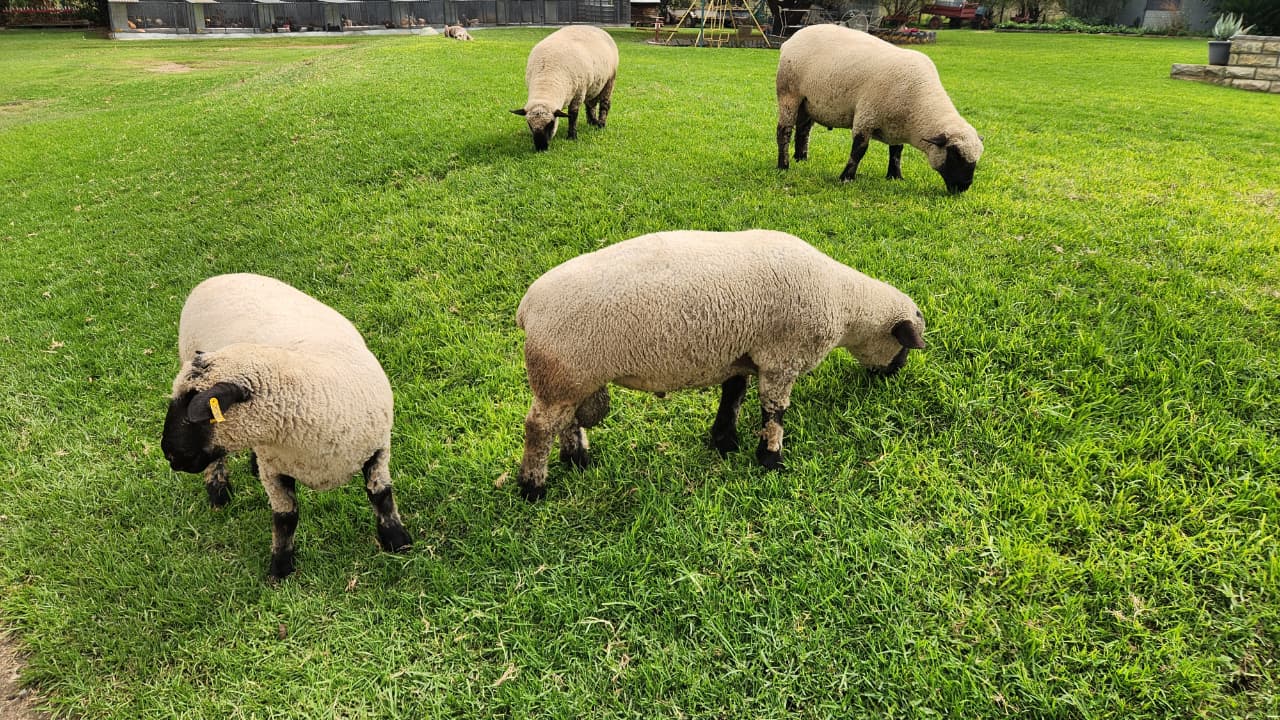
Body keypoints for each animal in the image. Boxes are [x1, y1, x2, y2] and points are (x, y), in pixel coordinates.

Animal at [160, 273, 411, 581]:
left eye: (195, 409)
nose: (169, 454)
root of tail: (216, 277)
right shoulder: (275, 469)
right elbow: (286, 518)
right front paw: (280, 568)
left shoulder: (378, 449)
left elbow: (380, 495)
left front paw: (398, 541)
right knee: (218, 458)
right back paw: (218, 491)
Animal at [513, 229, 926, 501]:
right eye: (904, 347)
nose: (893, 375)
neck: (844, 303)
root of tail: (527, 308)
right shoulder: (782, 360)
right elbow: (774, 412)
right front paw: (770, 459)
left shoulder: (741, 355)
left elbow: (733, 396)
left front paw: (724, 441)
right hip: (561, 373)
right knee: (539, 428)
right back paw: (533, 487)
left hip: (572, 379)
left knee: (566, 422)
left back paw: (577, 460)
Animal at [775, 24, 983, 194]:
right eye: (955, 155)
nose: (964, 187)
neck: (918, 104)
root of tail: (792, 39)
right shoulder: (867, 116)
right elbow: (859, 150)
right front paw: (846, 178)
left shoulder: (896, 124)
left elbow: (897, 151)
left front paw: (895, 176)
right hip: (789, 93)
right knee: (784, 131)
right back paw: (783, 165)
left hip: (808, 103)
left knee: (803, 131)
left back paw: (801, 159)